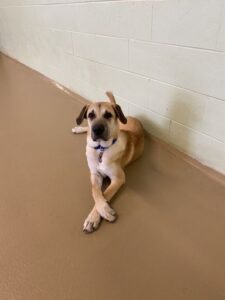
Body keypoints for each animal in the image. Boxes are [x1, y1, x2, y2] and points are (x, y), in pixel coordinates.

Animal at [73, 92, 145, 233]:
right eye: (91, 115)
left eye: (108, 115)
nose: (97, 129)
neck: (101, 150)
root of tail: (134, 118)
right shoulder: (94, 174)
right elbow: (95, 191)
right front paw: (101, 212)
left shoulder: (118, 178)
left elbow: (105, 193)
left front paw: (97, 215)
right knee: (87, 130)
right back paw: (78, 129)